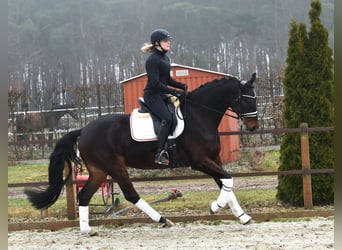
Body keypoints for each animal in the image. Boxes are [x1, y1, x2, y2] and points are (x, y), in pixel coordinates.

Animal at [24, 73, 260, 236]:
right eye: (247, 99)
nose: (254, 127)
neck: (199, 115)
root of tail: (83, 130)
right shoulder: (200, 161)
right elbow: (228, 180)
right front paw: (214, 207)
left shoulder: (214, 159)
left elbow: (226, 184)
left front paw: (243, 216)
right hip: (114, 166)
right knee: (130, 194)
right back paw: (162, 219)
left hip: (99, 170)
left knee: (84, 196)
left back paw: (87, 230)